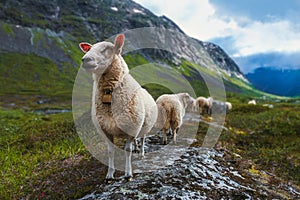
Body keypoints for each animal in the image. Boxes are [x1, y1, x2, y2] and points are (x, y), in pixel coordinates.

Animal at [78, 34, 158, 181]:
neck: (108, 92)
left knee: (143, 138)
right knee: (137, 140)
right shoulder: (105, 129)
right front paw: (109, 174)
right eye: (89, 48)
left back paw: (141, 153)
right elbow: (110, 151)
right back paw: (137, 148)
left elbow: (127, 150)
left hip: (144, 124)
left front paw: (128, 173)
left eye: (107, 49)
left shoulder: (131, 128)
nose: (85, 60)